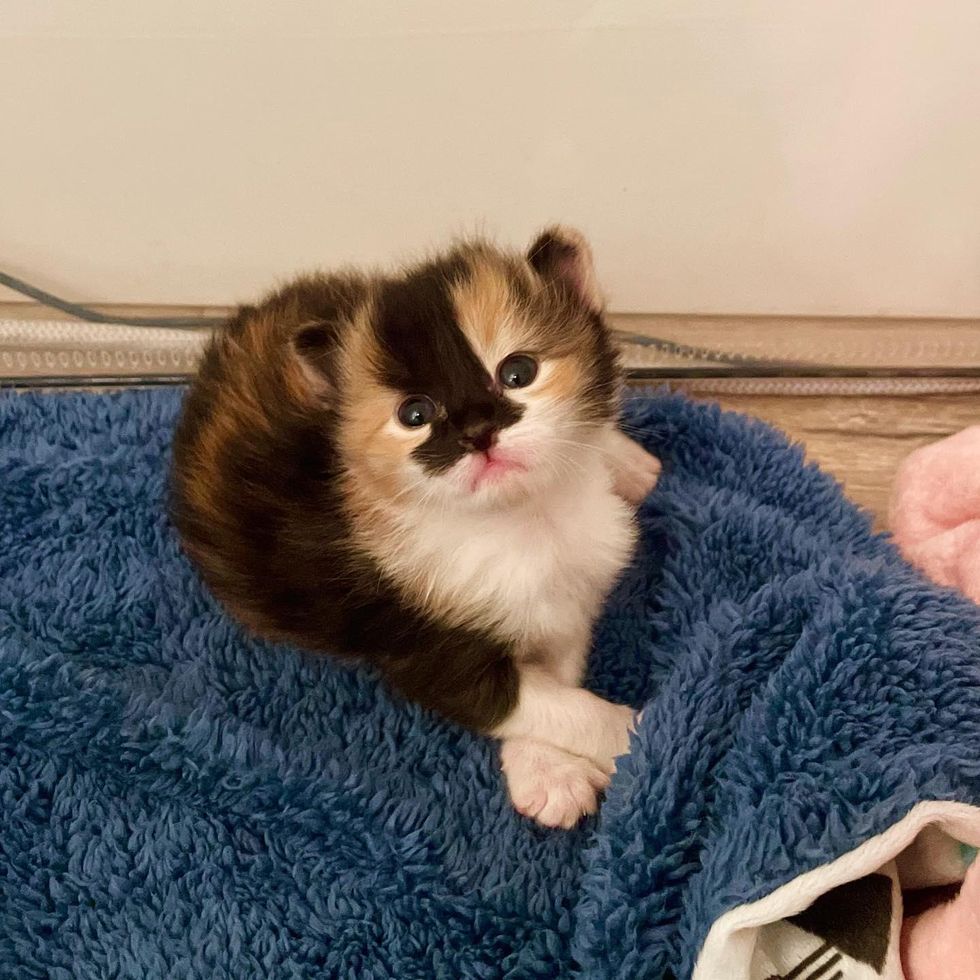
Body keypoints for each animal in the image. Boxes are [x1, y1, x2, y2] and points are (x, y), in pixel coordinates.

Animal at [172, 226, 664, 824]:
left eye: (518, 373)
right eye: (415, 415)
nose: (477, 433)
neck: (523, 520)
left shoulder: (572, 598)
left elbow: (558, 670)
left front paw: (551, 767)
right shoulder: (418, 641)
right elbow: (545, 701)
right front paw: (614, 743)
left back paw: (629, 464)